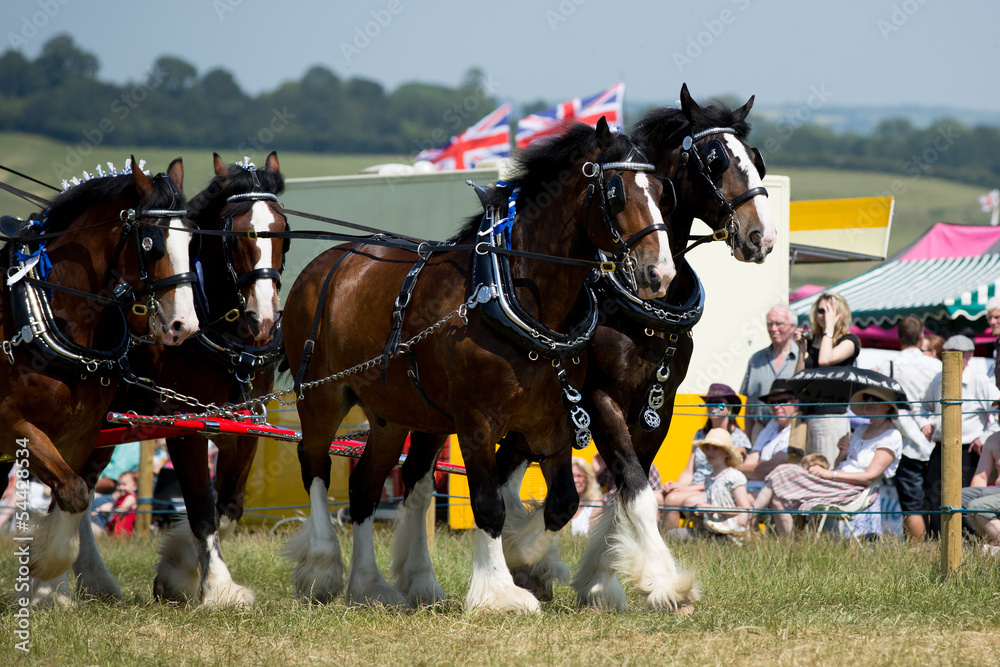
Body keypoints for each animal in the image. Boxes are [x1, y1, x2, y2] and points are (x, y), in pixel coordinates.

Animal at [0, 158, 198, 599]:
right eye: (151, 243)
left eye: (193, 239)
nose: (185, 325)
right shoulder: (12, 422)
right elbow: (73, 492)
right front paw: (43, 568)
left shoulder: (81, 432)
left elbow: (74, 493)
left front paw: (45, 570)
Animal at [282, 118, 674, 613]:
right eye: (616, 191)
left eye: (662, 190)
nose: (660, 274)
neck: (510, 291)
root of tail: (326, 263)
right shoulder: (476, 424)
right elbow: (488, 504)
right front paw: (499, 590)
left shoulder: (553, 421)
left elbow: (563, 502)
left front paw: (525, 557)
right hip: (321, 396)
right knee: (313, 464)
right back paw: (321, 567)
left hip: (392, 416)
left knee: (364, 488)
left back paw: (369, 586)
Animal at [474, 84, 776, 611]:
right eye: (715, 159)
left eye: (755, 159)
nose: (763, 236)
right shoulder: (599, 398)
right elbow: (636, 487)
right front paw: (665, 581)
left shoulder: (659, 405)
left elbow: (625, 489)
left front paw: (600, 580)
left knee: (510, 466)